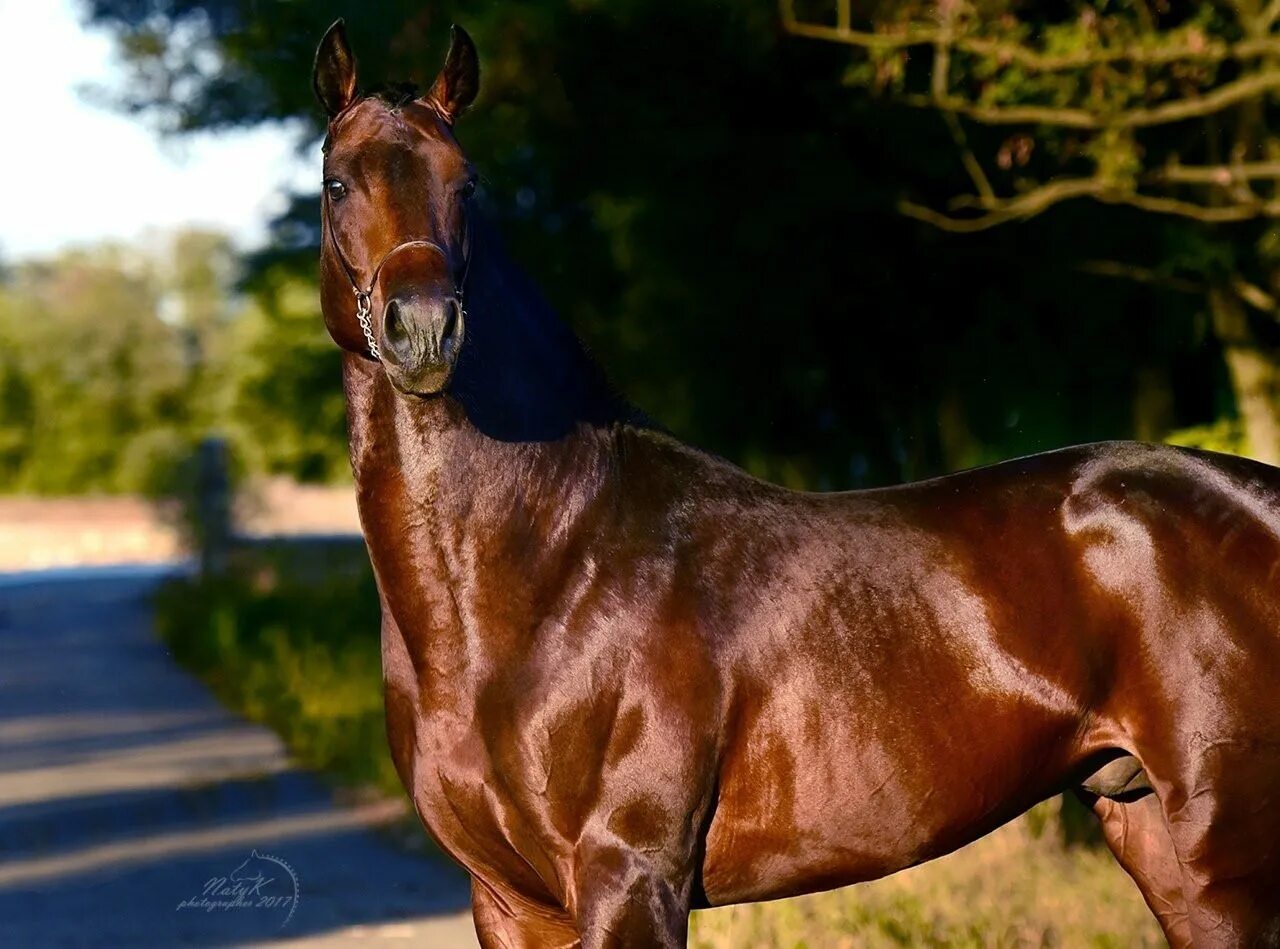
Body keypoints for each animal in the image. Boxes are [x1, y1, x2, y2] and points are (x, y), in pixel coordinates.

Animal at [312, 22, 1280, 947]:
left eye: (467, 182)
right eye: (337, 182)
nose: (423, 330)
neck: (541, 573)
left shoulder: (630, 880)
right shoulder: (510, 901)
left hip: (1225, 853)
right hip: (1150, 829)